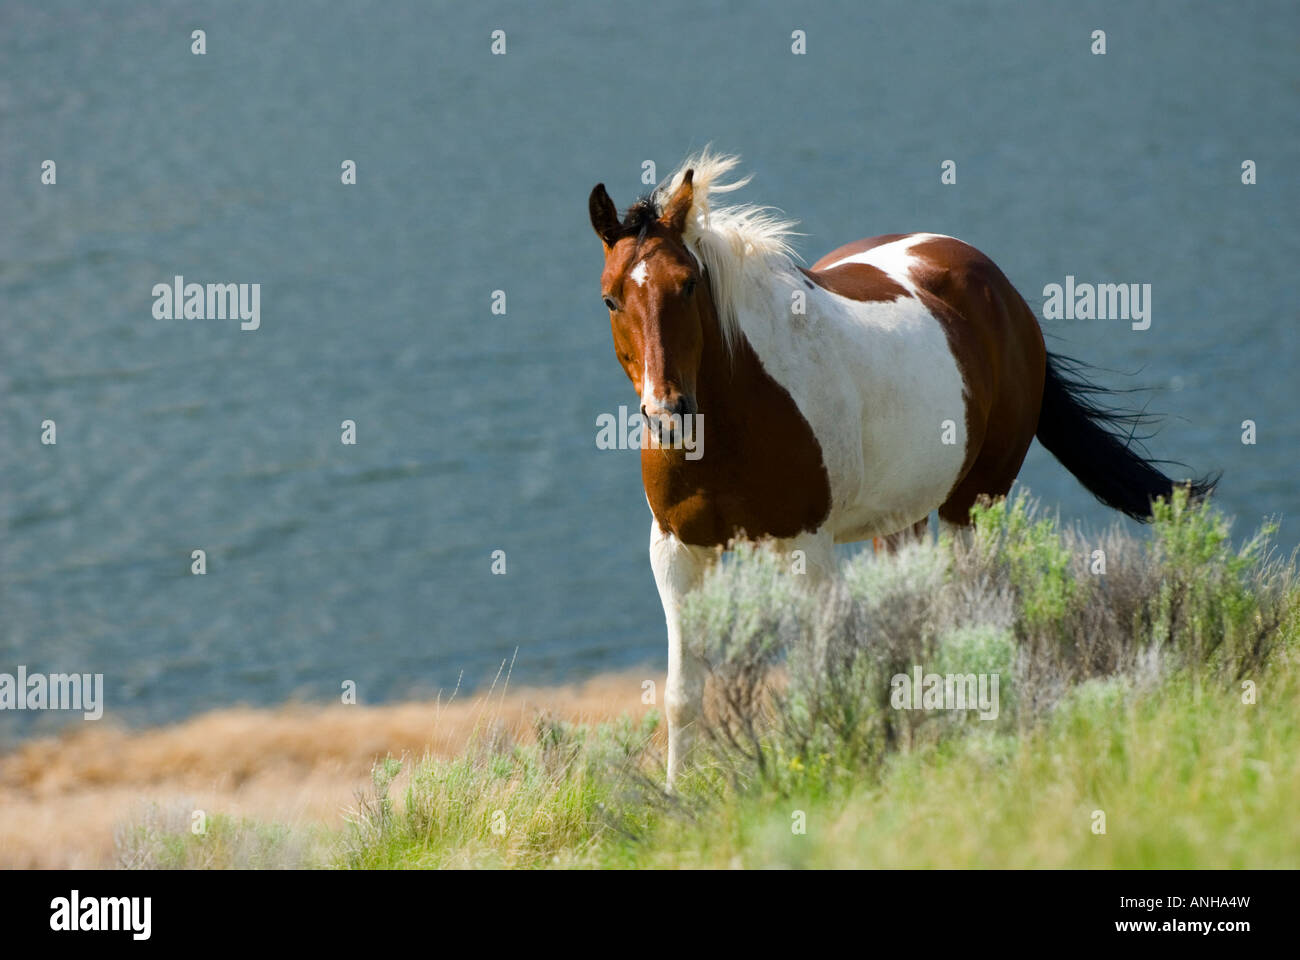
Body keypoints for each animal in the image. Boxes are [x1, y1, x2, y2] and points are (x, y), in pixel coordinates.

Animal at [588, 151, 1214, 786]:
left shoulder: (806, 547)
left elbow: (820, 675)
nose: (668, 414)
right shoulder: (677, 550)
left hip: (974, 506)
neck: (740, 401)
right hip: (900, 520)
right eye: (611, 299)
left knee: (966, 610)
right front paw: (675, 795)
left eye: (688, 285)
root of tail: (997, 285)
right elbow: (683, 695)